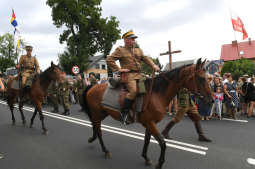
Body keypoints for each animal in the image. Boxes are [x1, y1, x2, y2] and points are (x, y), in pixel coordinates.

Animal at [83, 58, 213, 169]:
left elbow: (147, 140)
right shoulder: (150, 123)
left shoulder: (149, 123)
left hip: (102, 113)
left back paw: (93, 140)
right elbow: (162, 143)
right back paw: (105, 151)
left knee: (95, 127)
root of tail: (93, 86)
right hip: (96, 114)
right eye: (201, 78)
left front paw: (146, 158)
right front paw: (159, 164)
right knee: (99, 131)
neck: (157, 93)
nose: (212, 100)